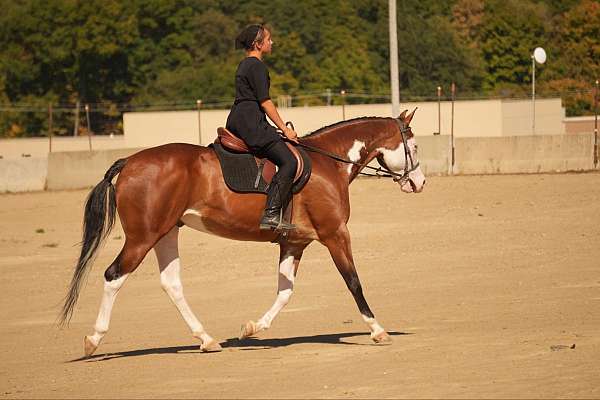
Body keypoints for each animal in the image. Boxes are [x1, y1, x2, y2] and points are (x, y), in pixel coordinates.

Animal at [61, 109, 424, 356]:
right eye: (415, 146)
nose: (419, 182)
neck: (328, 163)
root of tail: (130, 162)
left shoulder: (295, 242)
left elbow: (285, 291)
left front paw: (251, 329)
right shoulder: (335, 234)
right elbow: (353, 281)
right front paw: (377, 329)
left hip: (166, 233)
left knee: (171, 284)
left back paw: (206, 339)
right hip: (142, 238)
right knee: (113, 276)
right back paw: (93, 339)